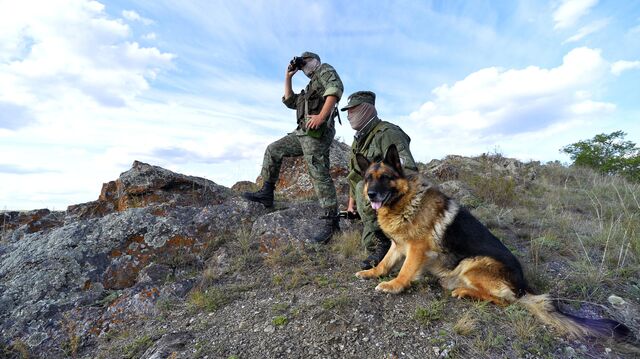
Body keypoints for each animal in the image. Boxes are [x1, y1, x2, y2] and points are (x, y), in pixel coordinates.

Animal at [356, 144, 632, 340]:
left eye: (385, 177)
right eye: (369, 178)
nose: (371, 194)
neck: (404, 200)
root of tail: (523, 286)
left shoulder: (416, 249)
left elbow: (404, 271)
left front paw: (393, 286)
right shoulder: (398, 245)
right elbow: (385, 262)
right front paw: (372, 273)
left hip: (473, 264)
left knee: (505, 301)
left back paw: (465, 292)